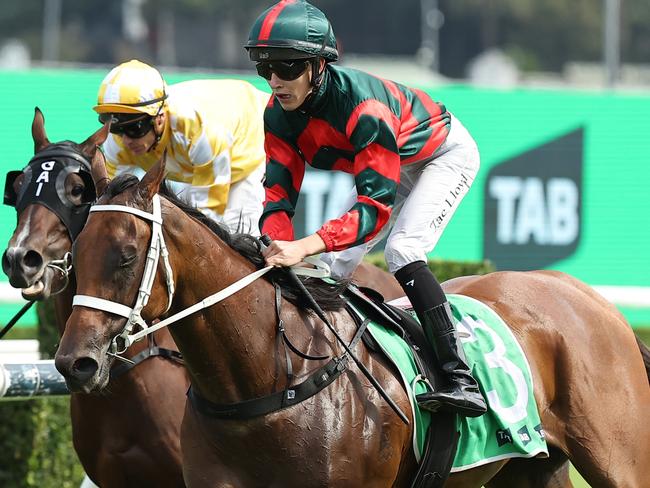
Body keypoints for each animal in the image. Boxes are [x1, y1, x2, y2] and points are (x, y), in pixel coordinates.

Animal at [55, 158, 648, 486]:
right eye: (75, 255)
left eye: (126, 256)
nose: (74, 363)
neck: (270, 380)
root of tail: (585, 294)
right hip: (528, 466)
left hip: (619, 459)